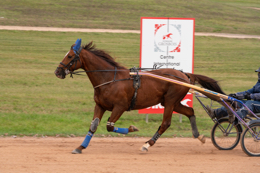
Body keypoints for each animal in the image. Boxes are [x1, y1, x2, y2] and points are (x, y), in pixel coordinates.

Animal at [54, 38, 225, 153]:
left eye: (70, 56)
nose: (57, 71)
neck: (109, 79)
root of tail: (185, 75)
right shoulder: (100, 105)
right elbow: (93, 126)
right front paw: (80, 147)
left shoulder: (120, 107)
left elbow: (110, 126)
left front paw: (132, 128)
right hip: (171, 102)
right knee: (190, 112)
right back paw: (199, 136)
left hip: (170, 101)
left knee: (165, 123)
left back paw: (147, 144)